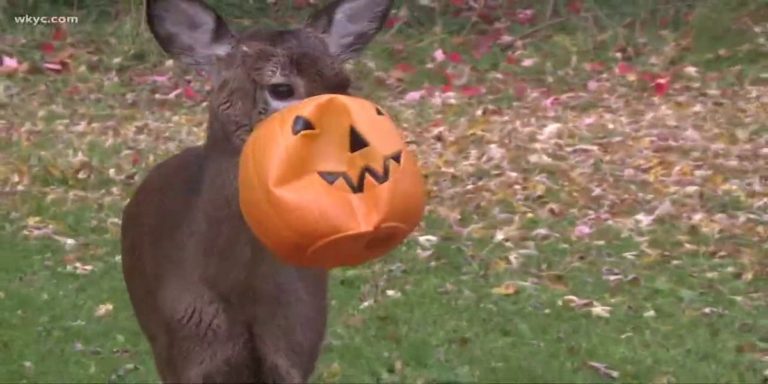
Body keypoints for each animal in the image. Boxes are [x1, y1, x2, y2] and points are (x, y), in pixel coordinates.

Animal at [122, 0, 392, 380]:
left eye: (344, 85)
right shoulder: (182, 353)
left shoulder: (295, 348)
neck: (240, 293)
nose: (356, 146)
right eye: (281, 88)